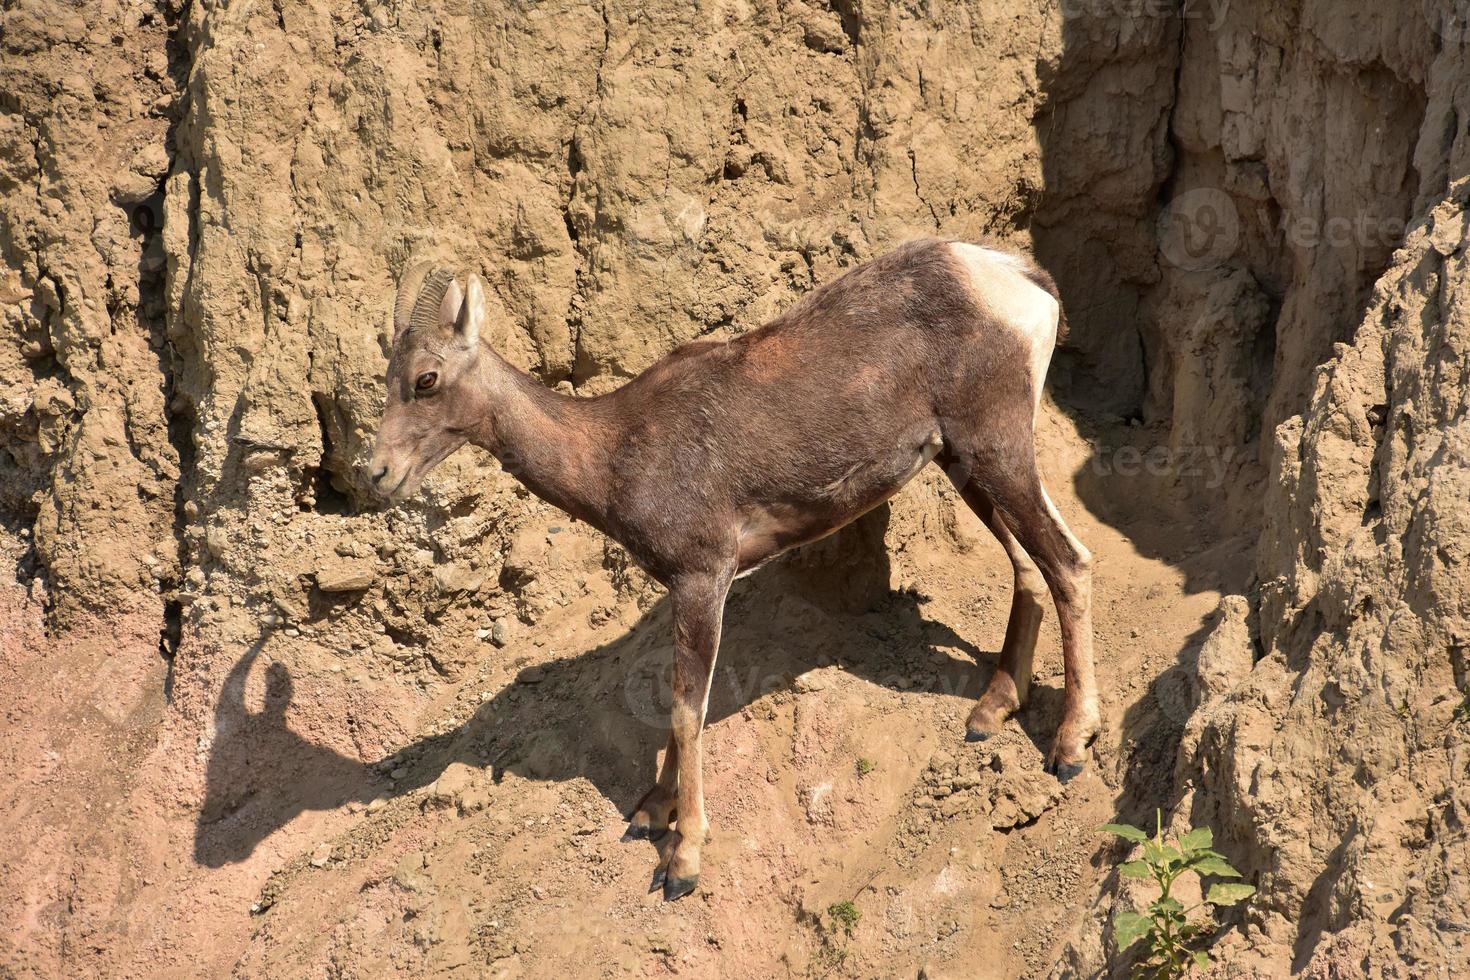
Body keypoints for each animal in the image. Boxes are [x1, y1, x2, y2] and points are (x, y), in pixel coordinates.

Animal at [373, 235, 1099, 899]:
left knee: (1069, 562)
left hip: (998, 449)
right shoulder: (683, 590)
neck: (613, 448)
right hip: (961, 463)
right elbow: (674, 700)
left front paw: (682, 860)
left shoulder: (704, 579)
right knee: (1030, 567)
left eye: (426, 379)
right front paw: (650, 813)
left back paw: (1069, 748)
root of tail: (1013, 279)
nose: (376, 472)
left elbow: (685, 708)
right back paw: (991, 711)